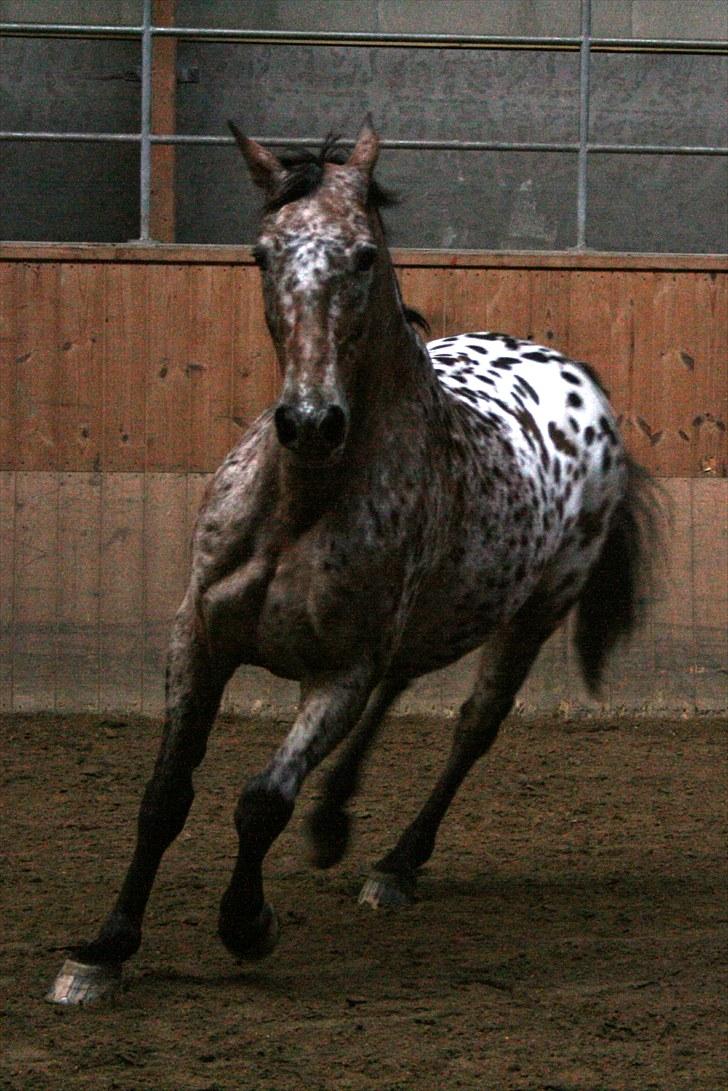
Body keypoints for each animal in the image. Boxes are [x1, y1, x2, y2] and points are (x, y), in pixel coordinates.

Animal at [48, 121, 663, 1003]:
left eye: (366, 254)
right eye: (262, 254)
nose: (311, 422)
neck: (300, 504)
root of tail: (583, 382)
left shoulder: (336, 671)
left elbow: (261, 800)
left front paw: (249, 924)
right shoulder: (198, 638)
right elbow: (165, 793)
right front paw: (103, 948)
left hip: (532, 613)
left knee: (473, 726)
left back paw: (395, 864)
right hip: (440, 614)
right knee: (402, 682)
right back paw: (335, 820)